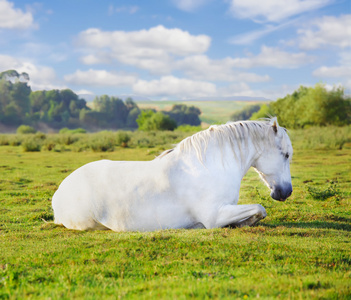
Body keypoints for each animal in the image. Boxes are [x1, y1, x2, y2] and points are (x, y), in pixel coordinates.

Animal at [53, 118, 294, 231]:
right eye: (286, 154)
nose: (286, 192)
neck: (209, 168)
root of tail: (59, 192)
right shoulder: (214, 215)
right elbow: (260, 208)